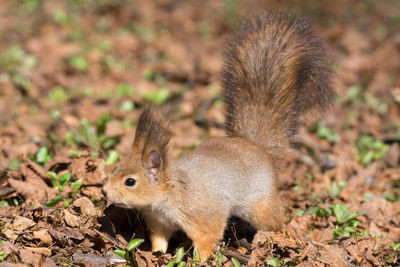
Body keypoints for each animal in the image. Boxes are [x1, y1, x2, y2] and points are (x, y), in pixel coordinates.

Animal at [101, 13, 332, 262]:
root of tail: (257, 147)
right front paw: (157, 254)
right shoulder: (159, 221)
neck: (169, 194)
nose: (104, 191)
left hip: (260, 204)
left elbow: (207, 237)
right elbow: (160, 239)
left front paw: (196, 261)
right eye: (115, 168)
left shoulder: (203, 215)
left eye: (130, 181)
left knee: (274, 218)